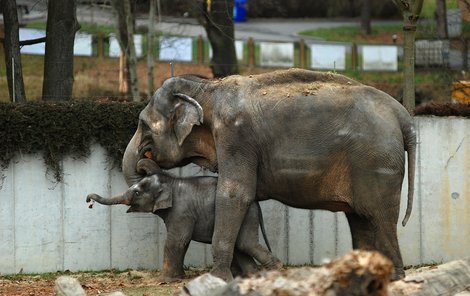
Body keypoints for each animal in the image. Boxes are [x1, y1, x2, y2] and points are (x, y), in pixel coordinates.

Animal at [86, 158, 280, 280]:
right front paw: (178, 277)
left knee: (246, 244)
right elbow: (182, 243)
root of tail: (256, 202)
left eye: (137, 193)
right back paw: (253, 276)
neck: (171, 181)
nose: (88, 201)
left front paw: (164, 280)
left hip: (247, 215)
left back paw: (275, 271)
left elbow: (177, 241)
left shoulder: (181, 212)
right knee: (240, 246)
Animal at [121, 68, 414, 280]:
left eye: (143, 125)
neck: (208, 88)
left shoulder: (236, 136)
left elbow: (234, 194)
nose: (144, 163)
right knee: (360, 218)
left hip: (377, 161)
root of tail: (403, 114)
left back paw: (396, 277)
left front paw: (219, 278)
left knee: (380, 217)